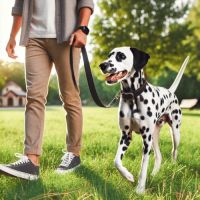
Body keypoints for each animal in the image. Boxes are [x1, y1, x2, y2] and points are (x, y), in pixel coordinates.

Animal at [100, 47, 189, 194]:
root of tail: (170, 91)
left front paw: (140, 189)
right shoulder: (126, 136)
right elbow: (117, 161)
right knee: (159, 156)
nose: (102, 65)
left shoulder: (146, 140)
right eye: (109, 56)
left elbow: (143, 169)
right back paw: (154, 174)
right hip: (154, 136)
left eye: (121, 56)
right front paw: (128, 176)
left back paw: (173, 167)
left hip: (174, 133)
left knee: (174, 151)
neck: (133, 96)